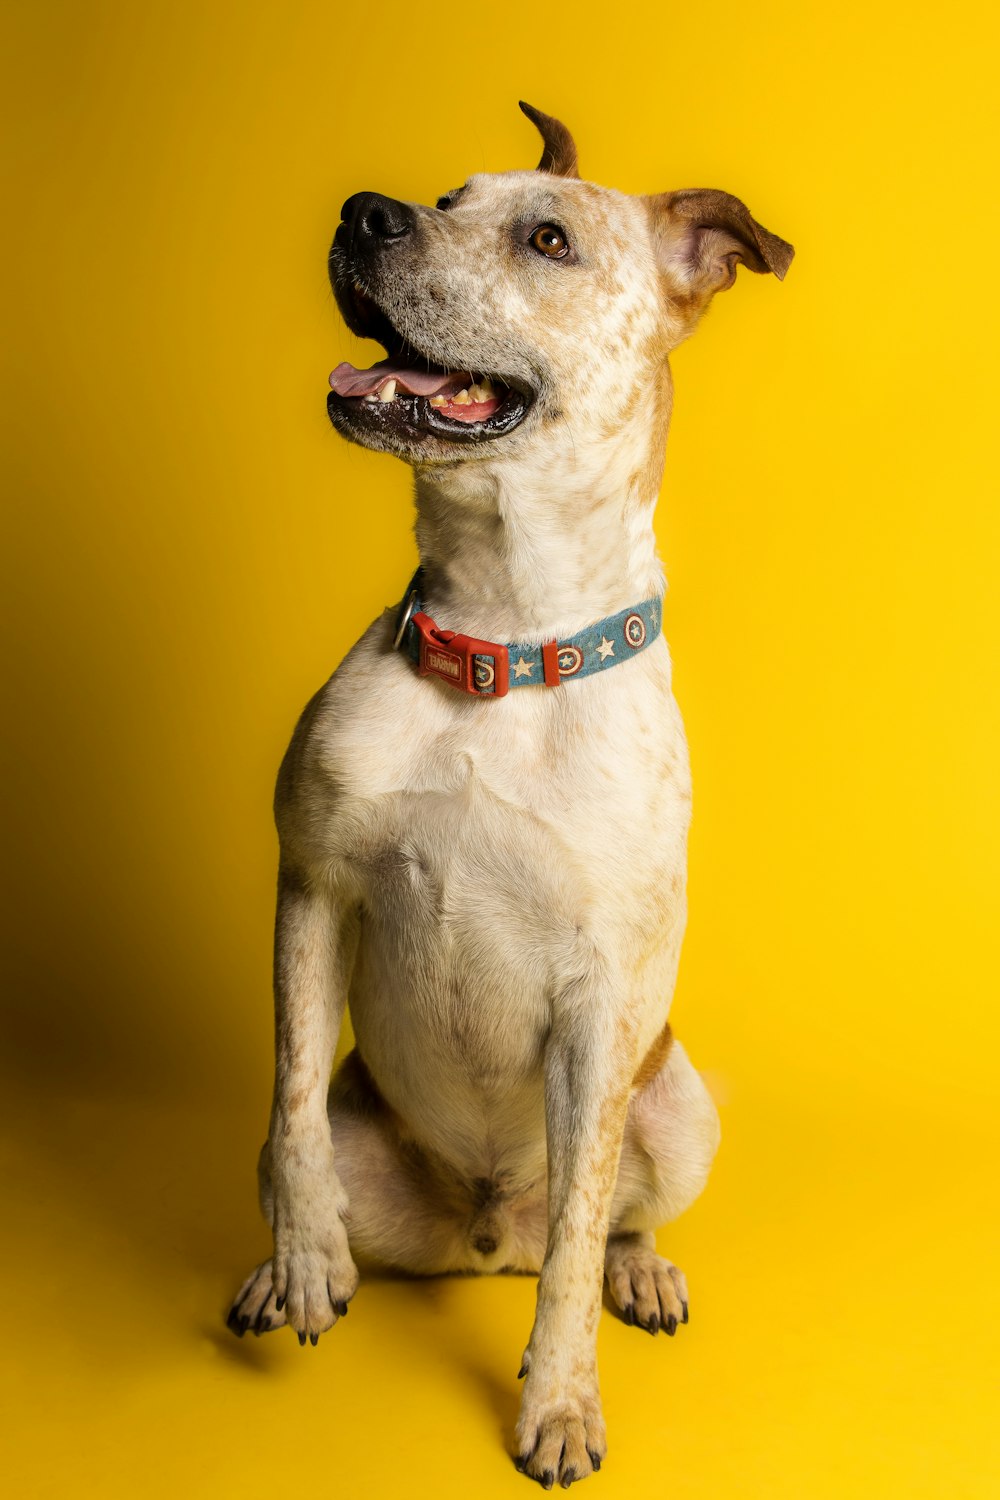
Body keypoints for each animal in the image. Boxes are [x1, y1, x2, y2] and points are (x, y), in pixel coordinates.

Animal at [229, 99, 797, 1482]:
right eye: (446, 197)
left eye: (547, 239)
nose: (366, 213)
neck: (502, 641)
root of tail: (485, 1235)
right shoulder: (310, 889)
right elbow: (289, 1115)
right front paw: (303, 1261)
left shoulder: (599, 1012)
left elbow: (583, 1231)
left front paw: (558, 1402)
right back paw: (286, 1269)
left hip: (679, 1106)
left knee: (605, 1225)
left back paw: (638, 1275)